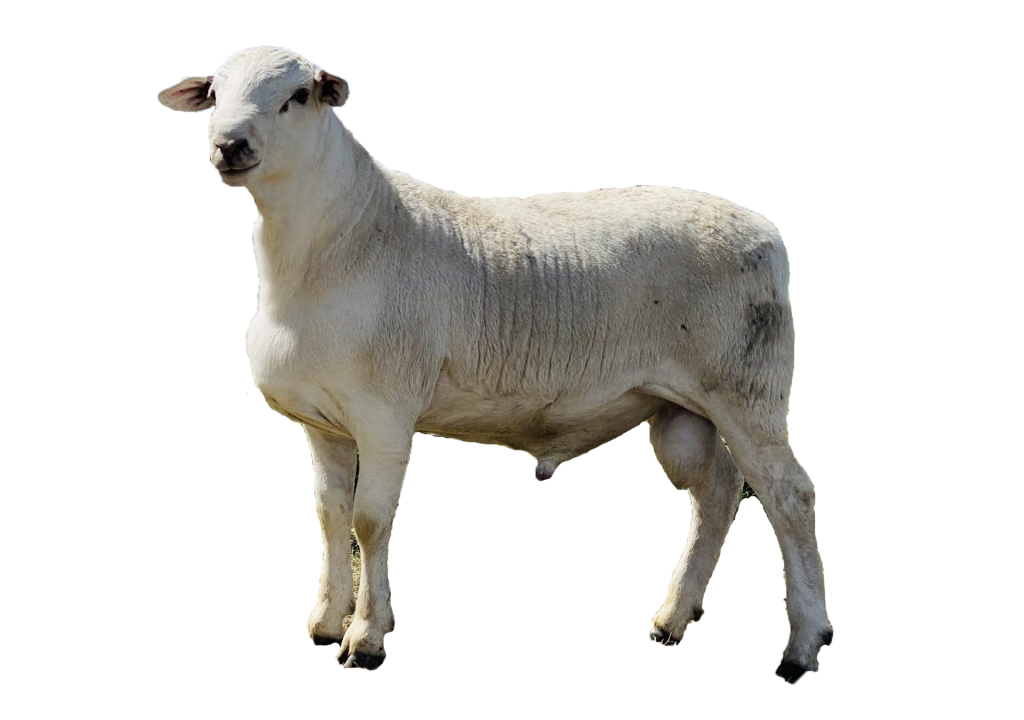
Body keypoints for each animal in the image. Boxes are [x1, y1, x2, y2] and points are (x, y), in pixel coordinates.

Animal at [157, 45, 833, 681]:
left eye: (297, 96)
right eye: (215, 93)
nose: (230, 145)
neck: (339, 239)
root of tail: (765, 230)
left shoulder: (384, 416)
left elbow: (370, 522)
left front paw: (367, 639)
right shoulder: (323, 423)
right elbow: (330, 515)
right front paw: (327, 622)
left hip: (746, 388)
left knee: (789, 495)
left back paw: (801, 648)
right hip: (685, 406)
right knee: (716, 491)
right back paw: (672, 618)